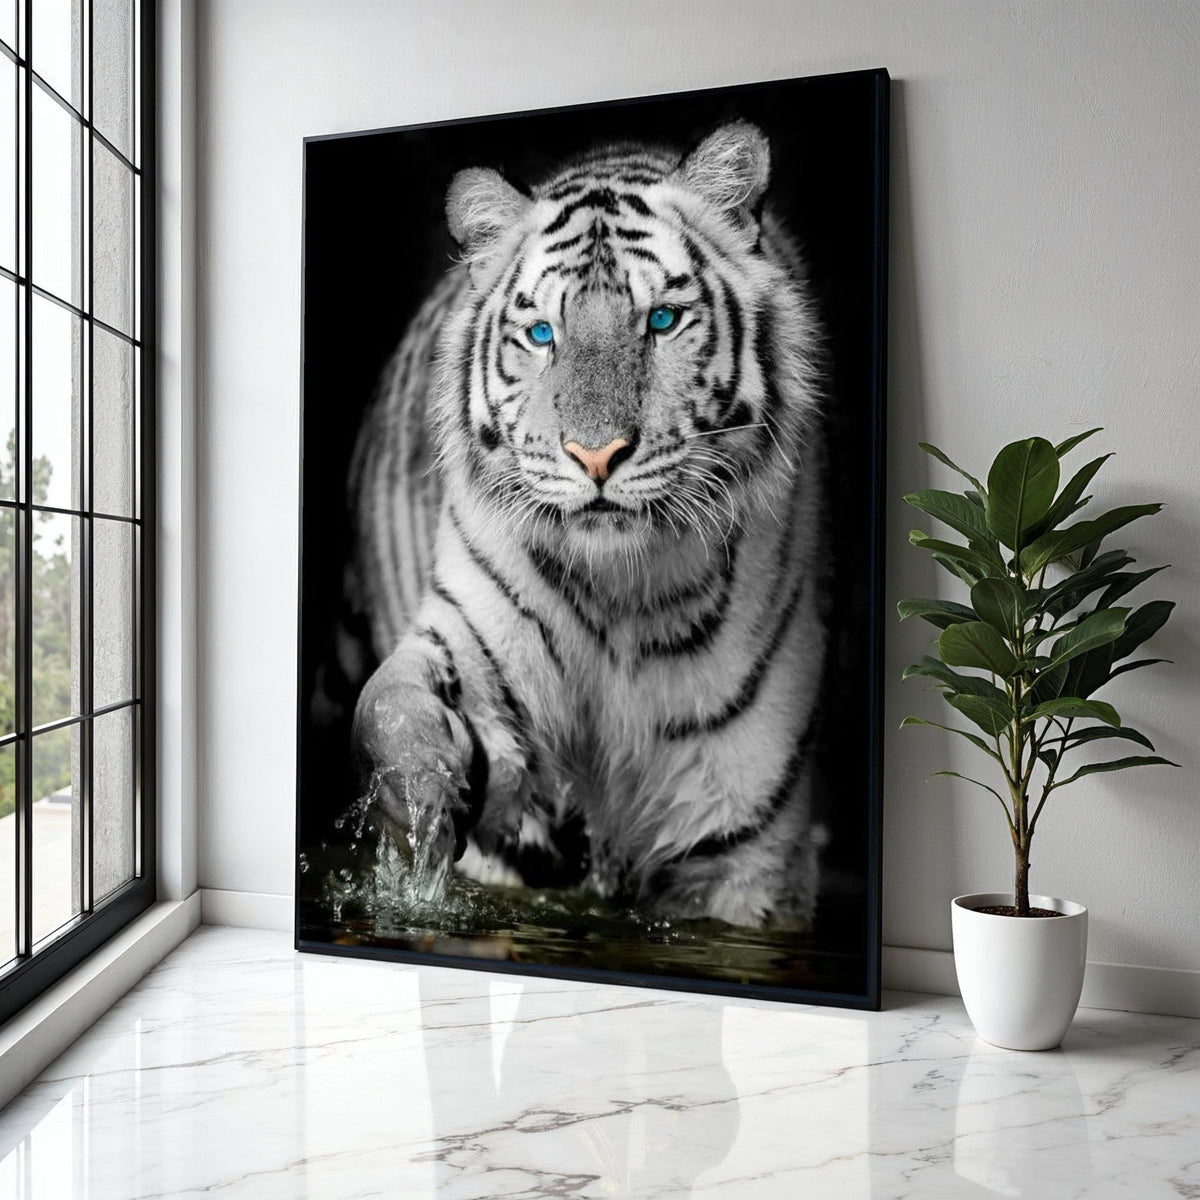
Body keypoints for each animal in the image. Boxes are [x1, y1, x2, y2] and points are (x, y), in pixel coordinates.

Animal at [346, 121, 829, 929]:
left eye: (661, 320)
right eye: (542, 333)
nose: (596, 455)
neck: (623, 595)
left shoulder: (744, 847)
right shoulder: (470, 637)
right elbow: (389, 707)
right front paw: (422, 801)